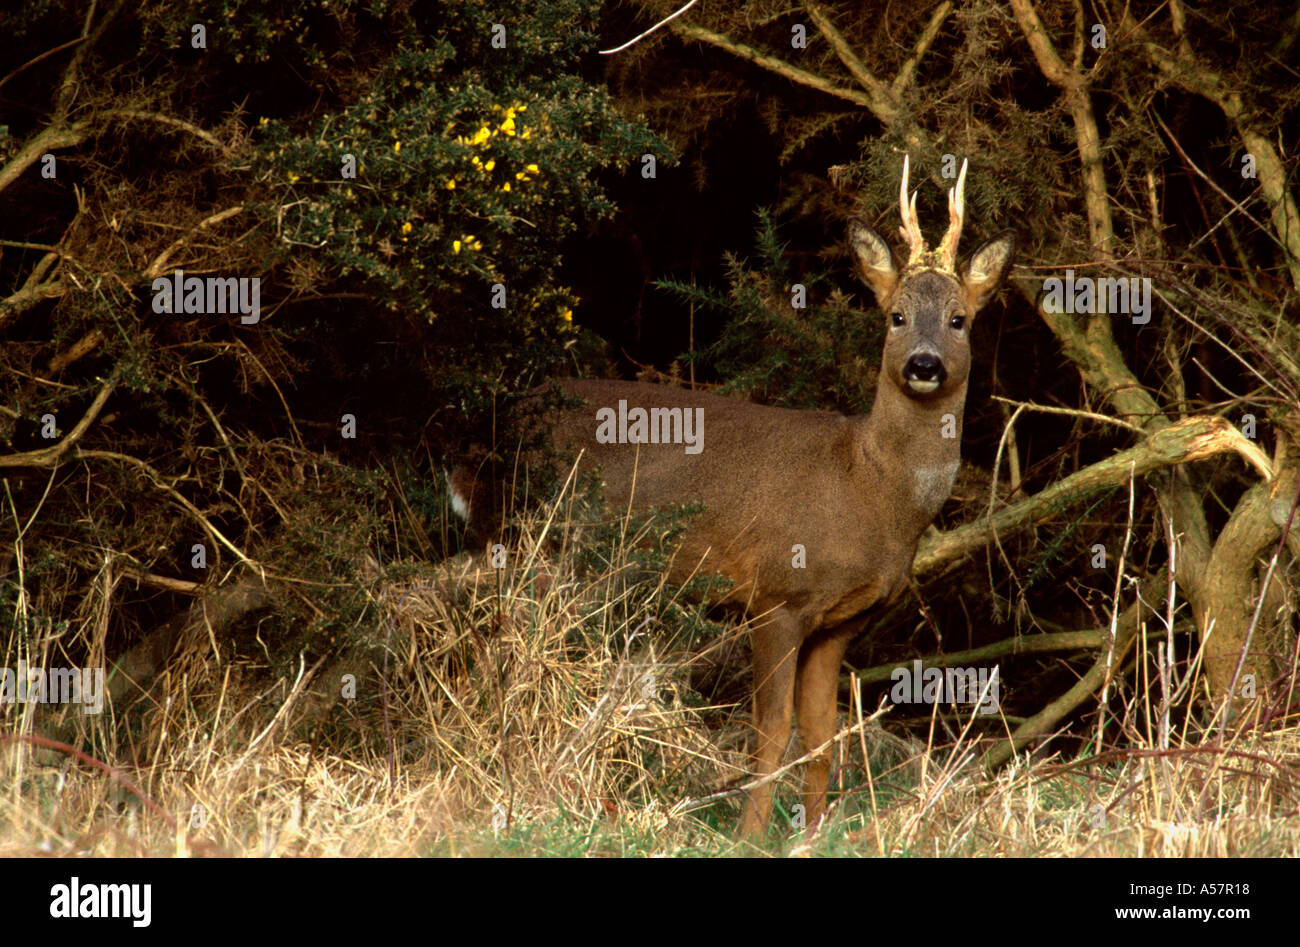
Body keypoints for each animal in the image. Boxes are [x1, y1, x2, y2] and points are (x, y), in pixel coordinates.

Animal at [449, 155, 1013, 837]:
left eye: (959, 319)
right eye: (896, 316)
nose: (925, 365)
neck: (869, 487)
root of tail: (477, 444)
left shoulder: (841, 622)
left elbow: (821, 736)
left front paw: (813, 834)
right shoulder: (777, 595)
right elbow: (771, 732)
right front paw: (750, 833)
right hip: (539, 544)